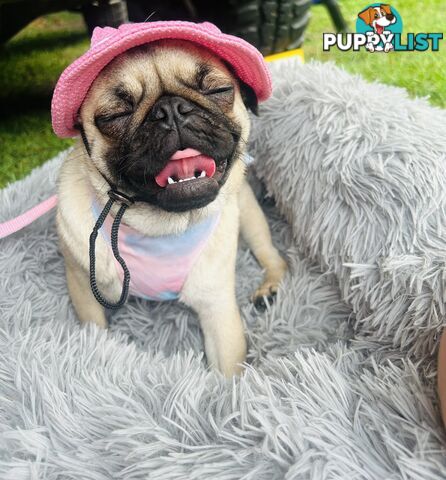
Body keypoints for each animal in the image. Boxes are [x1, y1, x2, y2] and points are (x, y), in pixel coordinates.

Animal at [56, 39, 286, 376]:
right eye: (115, 115)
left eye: (218, 90)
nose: (170, 110)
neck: (161, 227)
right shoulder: (83, 288)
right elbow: (96, 331)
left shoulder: (217, 308)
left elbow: (228, 372)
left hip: (249, 214)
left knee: (270, 252)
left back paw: (271, 286)